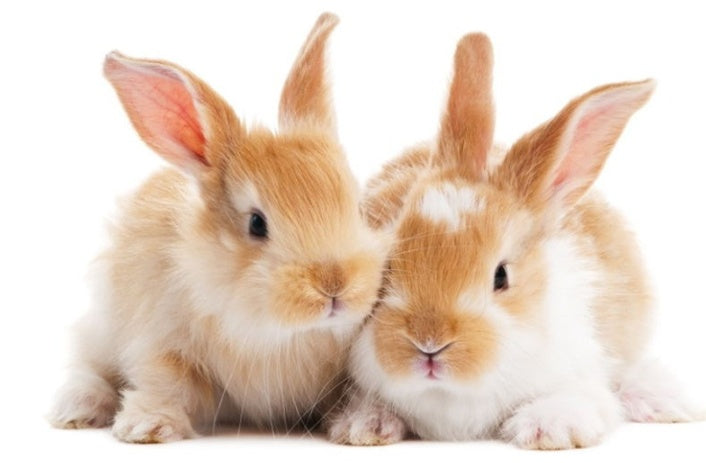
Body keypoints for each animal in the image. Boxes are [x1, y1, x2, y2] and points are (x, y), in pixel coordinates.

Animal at [48, 13, 389, 443]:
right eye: (257, 224)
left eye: (357, 207)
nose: (334, 286)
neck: (279, 334)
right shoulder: (163, 342)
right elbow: (167, 382)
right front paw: (147, 425)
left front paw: (367, 426)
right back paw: (77, 407)